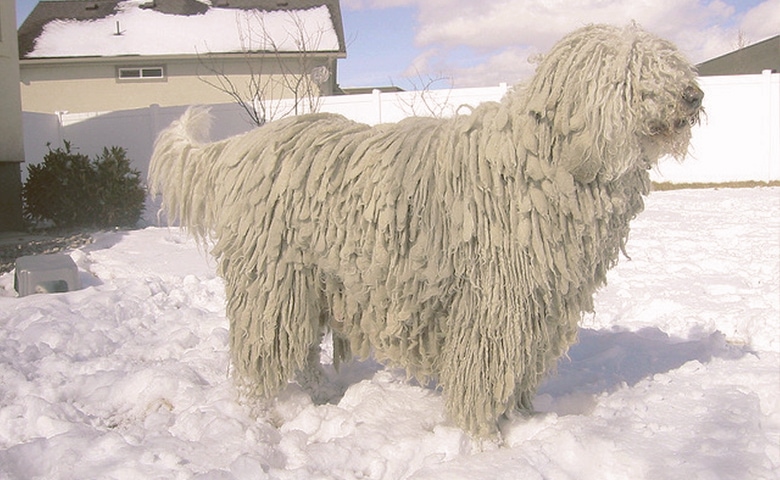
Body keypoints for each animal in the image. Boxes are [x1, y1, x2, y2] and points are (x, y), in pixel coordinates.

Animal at [146, 22, 700, 436]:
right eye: (633, 67)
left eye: (670, 60)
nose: (693, 94)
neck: (545, 160)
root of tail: (243, 148)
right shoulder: (493, 302)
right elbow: (484, 371)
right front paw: (484, 438)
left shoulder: (538, 303)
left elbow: (518, 369)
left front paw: (522, 419)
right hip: (274, 279)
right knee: (263, 352)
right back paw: (262, 411)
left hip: (309, 281)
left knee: (297, 346)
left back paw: (321, 395)